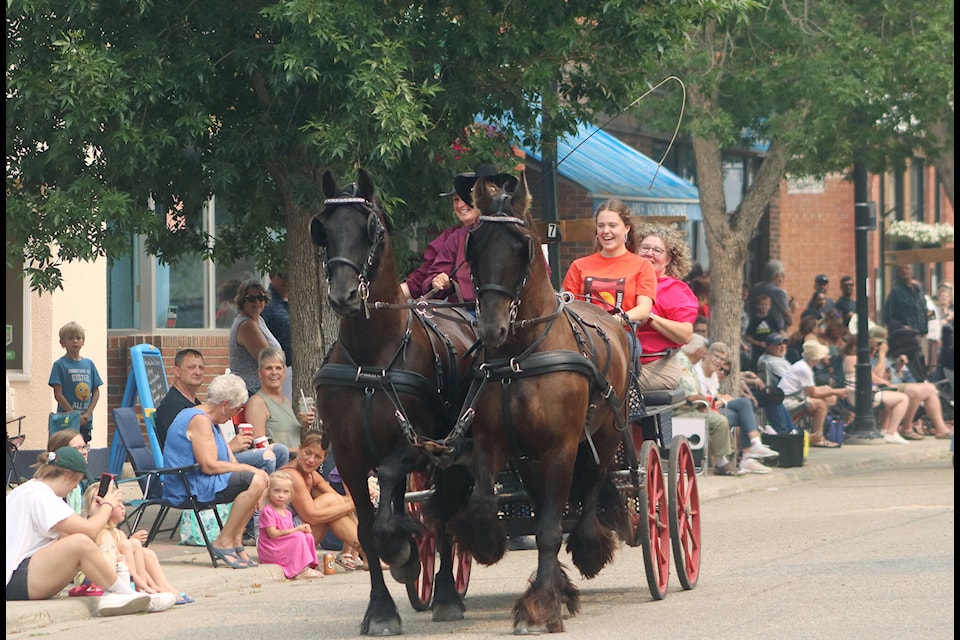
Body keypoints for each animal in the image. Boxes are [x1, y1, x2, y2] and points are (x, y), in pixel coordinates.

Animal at [312, 170, 476, 636]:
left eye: (372, 230)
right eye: (323, 228)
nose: (344, 296)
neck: (372, 359)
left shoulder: (413, 447)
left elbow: (389, 496)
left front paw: (403, 551)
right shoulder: (348, 458)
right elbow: (368, 529)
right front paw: (382, 608)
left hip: (452, 454)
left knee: (443, 514)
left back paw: (446, 594)